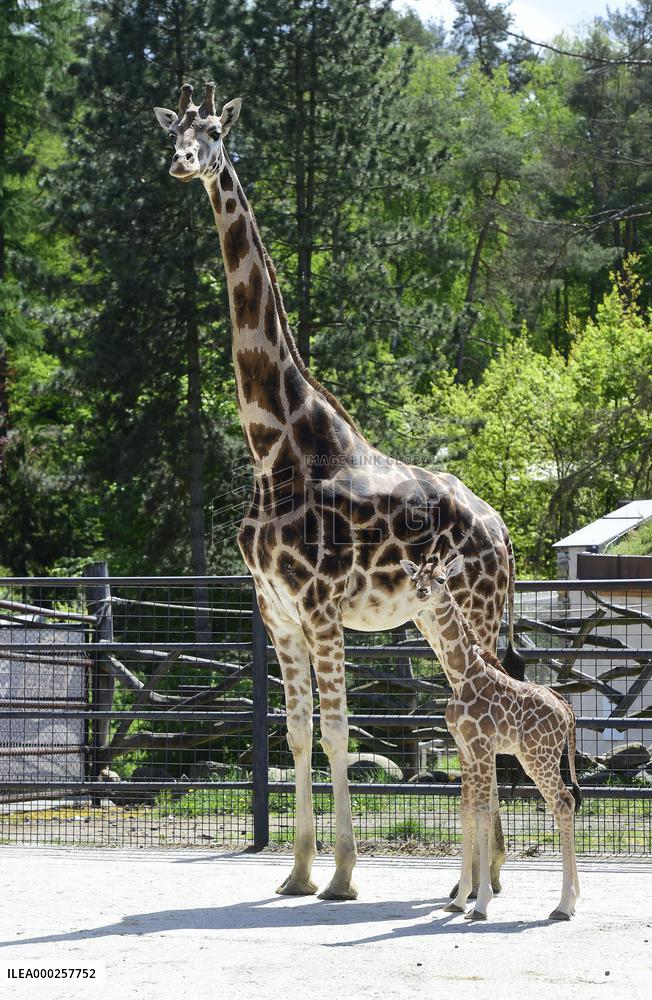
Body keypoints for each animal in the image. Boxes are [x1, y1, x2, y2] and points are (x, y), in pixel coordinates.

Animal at [154, 82, 525, 900]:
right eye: (175, 132)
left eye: (216, 131)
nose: (183, 163)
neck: (275, 446)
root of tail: (504, 530)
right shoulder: (276, 612)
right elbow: (294, 734)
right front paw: (297, 871)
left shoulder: (321, 608)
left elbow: (335, 732)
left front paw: (345, 877)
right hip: (434, 622)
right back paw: (480, 877)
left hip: (477, 613)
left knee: (486, 715)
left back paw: (482, 879)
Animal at [401, 552, 581, 921]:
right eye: (416, 579)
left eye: (441, 579)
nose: (422, 593)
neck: (460, 677)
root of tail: (567, 711)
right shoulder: (464, 749)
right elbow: (467, 811)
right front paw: (459, 900)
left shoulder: (482, 747)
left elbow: (484, 813)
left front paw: (481, 903)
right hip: (537, 757)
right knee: (564, 803)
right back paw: (573, 899)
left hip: (538, 758)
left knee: (563, 803)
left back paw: (563, 904)